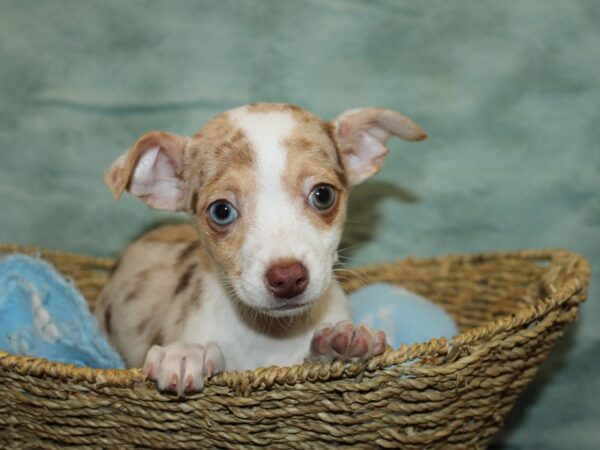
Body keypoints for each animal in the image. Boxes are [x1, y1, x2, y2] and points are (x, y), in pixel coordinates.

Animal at [95, 103, 426, 396]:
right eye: (221, 211)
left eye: (323, 194)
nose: (288, 277)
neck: (272, 335)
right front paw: (188, 353)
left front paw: (341, 346)